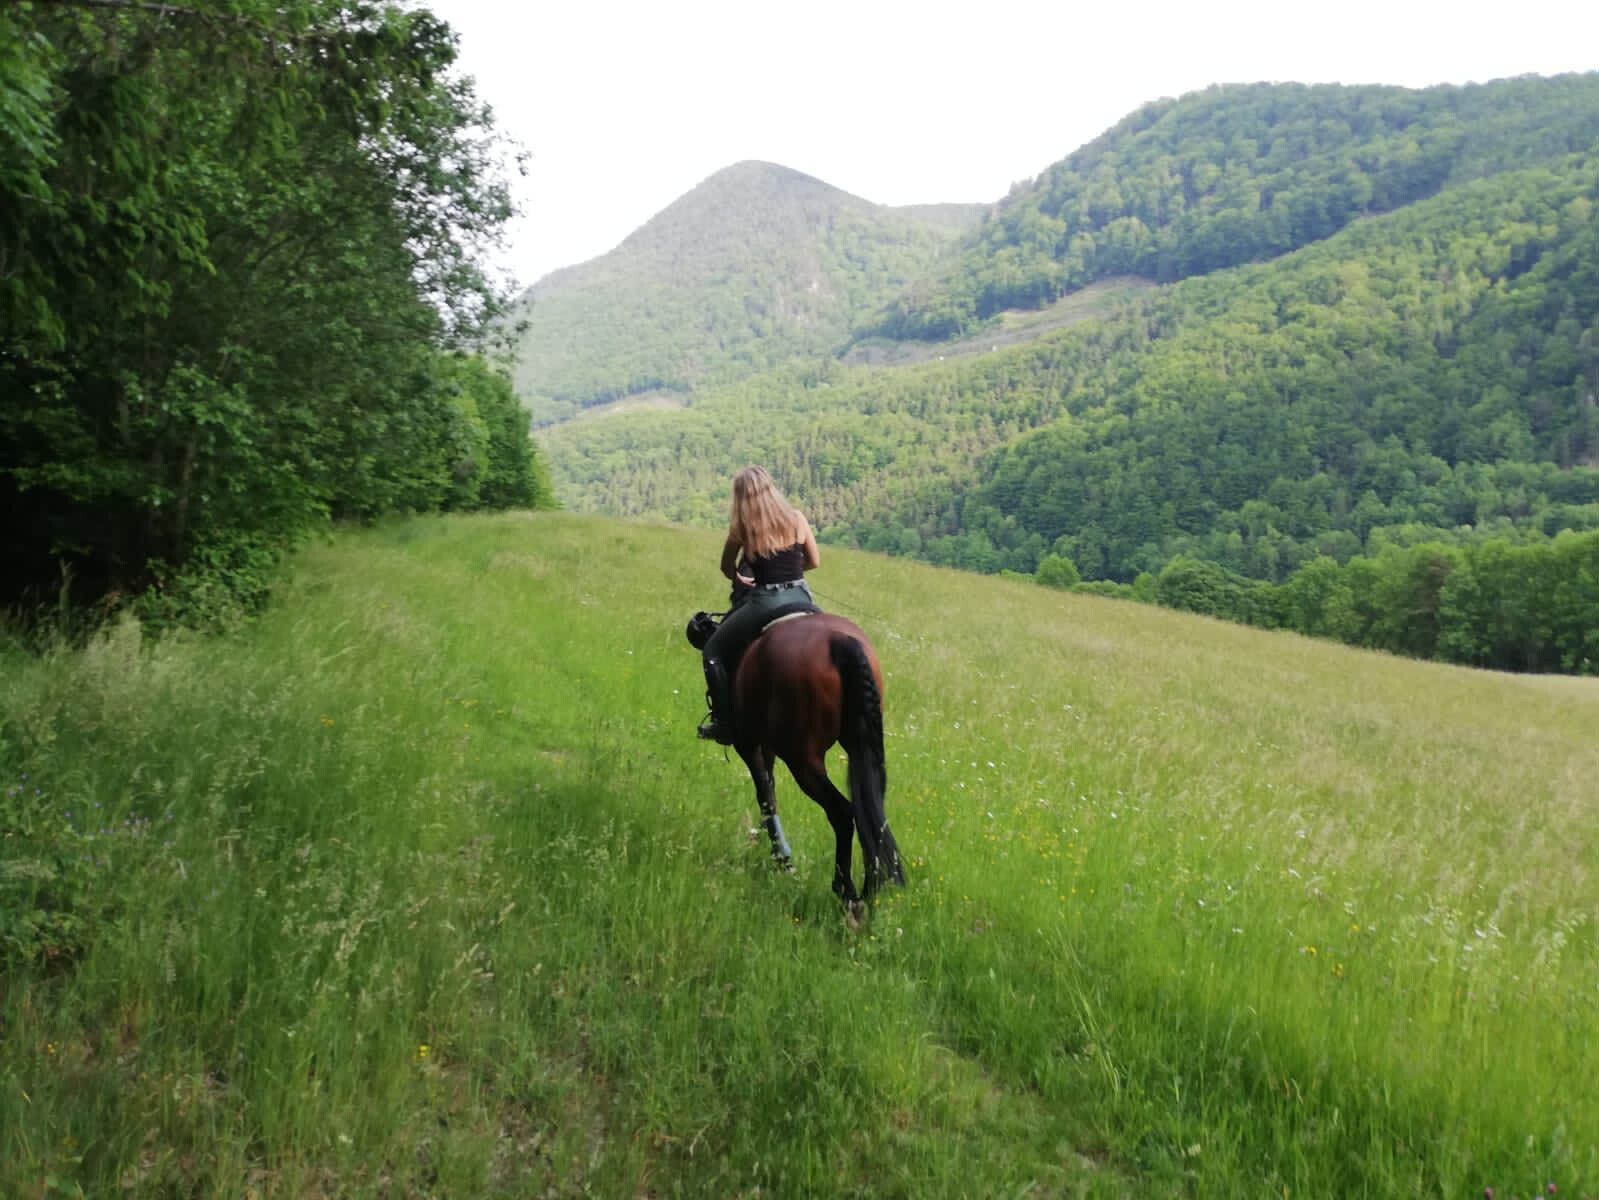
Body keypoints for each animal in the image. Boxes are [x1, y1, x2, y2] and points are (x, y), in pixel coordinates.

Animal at [730, 613, 906, 906]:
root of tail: (839, 641)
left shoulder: (749, 743)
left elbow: (765, 794)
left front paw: (781, 857)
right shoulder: (766, 745)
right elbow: (770, 790)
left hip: (802, 760)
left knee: (843, 813)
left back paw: (846, 891)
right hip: (862, 751)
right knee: (871, 819)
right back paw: (868, 892)